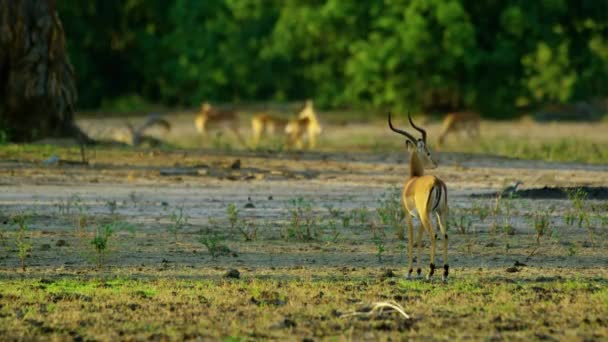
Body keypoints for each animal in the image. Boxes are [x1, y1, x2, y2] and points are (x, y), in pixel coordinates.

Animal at [388, 113, 448, 282]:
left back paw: (431, 272)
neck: (412, 180)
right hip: (439, 213)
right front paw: (419, 270)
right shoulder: (420, 218)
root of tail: (437, 182)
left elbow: (411, 239)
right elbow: (420, 239)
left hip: (426, 214)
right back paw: (445, 273)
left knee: (434, 235)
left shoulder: (409, 215)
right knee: (445, 235)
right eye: (428, 152)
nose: (435, 163)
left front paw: (409, 272)